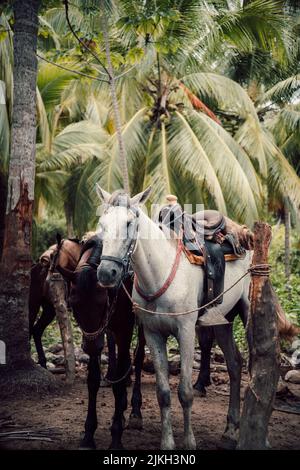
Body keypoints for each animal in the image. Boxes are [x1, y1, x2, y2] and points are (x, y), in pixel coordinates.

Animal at [50, 237, 146, 450]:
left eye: (102, 303)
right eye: (73, 303)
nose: (91, 346)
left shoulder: (124, 330)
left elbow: (120, 379)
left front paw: (116, 436)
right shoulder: (98, 335)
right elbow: (93, 380)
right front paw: (88, 435)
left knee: (138, 357)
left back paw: (135, 411)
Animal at [95, 185, 251, 450]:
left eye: (129, 223)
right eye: (102, 224)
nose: (107, 273)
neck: (160, 271)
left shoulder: (186, 332)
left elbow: (185, 392)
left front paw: (189, 442)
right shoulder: (153, 334)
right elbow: (164, 393)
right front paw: (167, 442)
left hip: (247, 309)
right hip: (223, 321)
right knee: (234, 364)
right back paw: (230, 430)